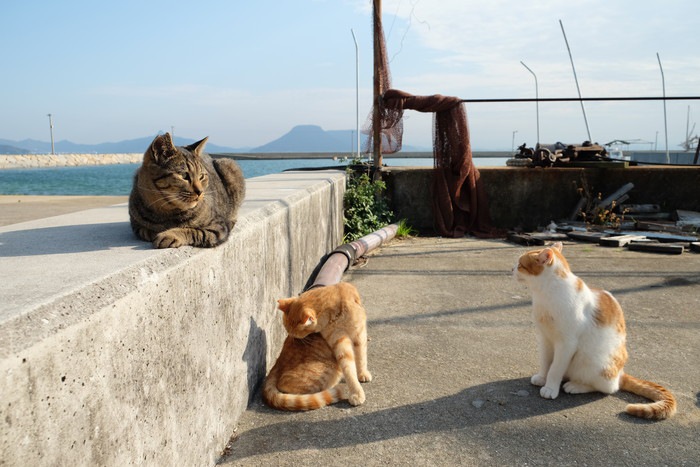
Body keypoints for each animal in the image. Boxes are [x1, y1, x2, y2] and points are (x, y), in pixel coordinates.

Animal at [262, 282, 372, 410]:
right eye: (288, 330)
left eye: (294, 332)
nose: (292, 337)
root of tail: (275, 366)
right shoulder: (339, 342)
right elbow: (348, 368)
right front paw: (356, 392)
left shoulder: (359, 335)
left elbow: (361, 358)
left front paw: (362, 374)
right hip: (330, 371)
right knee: (287, 388)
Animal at [512, 241, 676, 420]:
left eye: (520, 265)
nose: (512, 269)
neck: (545, 295)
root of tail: (620, 373)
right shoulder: (544, 338)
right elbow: (545, 362)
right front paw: (543, 378)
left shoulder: (566, 344)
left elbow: (555, 368)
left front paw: (550, 387)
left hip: (591, 361)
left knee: (607, 388)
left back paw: (575, 386)